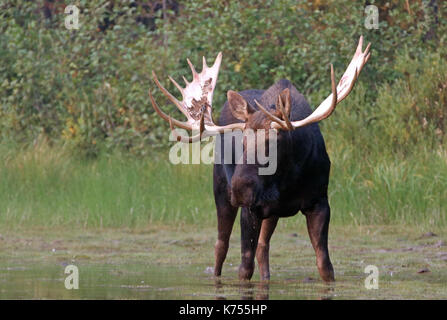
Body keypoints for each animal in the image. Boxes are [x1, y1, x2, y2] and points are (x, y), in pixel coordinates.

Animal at [150, 37, 372, 282]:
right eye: (243, 142)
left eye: (272, 141)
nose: (239, 189)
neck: (287, 181)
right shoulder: (251, 208)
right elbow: (244, 267)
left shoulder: (319, 202)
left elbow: (325, 265)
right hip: (221, 193)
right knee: (221, 246)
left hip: (269, 212)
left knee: (263, 247)